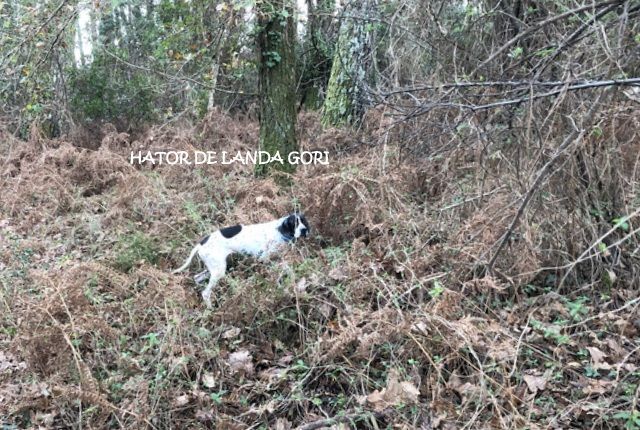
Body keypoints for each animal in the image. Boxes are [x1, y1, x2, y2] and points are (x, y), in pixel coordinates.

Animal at [172, 213, 308, 308]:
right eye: (294, 223)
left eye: (303, 221)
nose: (304, 230)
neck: (280, 230)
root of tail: (201, 244)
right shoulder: (265, 259)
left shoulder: (278, 259)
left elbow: (288, 270)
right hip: (218, 271)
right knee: (205, 293)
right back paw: (211, 309)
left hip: (214, 269)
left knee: (197, 278)